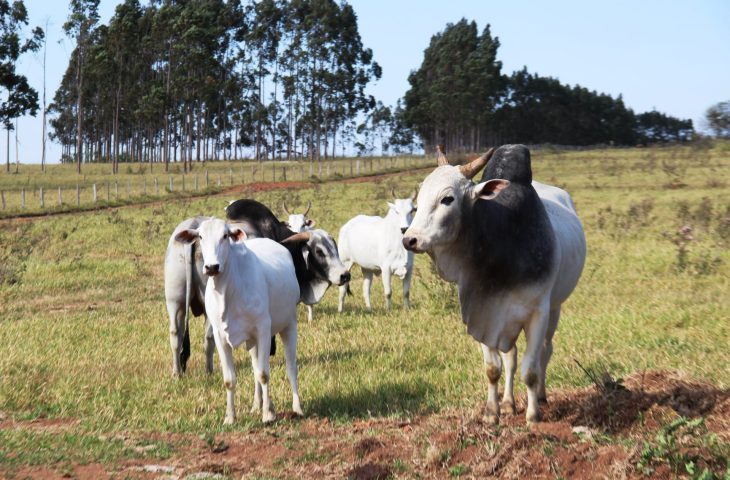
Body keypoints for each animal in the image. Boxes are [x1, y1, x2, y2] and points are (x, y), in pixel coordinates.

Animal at [175, 218, 300, 424]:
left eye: (225, 235)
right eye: (200, 236)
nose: (212, 267)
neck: (228, 292)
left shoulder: (263, 329)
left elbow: (264, 374)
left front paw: (267, 414)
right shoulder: (220, 337)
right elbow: (230, 379)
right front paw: (230, 417)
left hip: (289, 325)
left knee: (291, 367)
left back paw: (297, 408)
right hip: (252, 341)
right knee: (255, 367)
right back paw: (257, 405)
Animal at [400, 145, 584, 424]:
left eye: (447, 199)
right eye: (418, 199)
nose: (409, 239)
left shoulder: (537, 313)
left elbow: (531, 369)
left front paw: (533, 416)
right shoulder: (483, 312)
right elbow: (493, 368)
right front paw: (491, 412)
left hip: (554, 308)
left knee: (545, 351)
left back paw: (541, 397)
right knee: (511, 357)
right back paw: (508, 402)